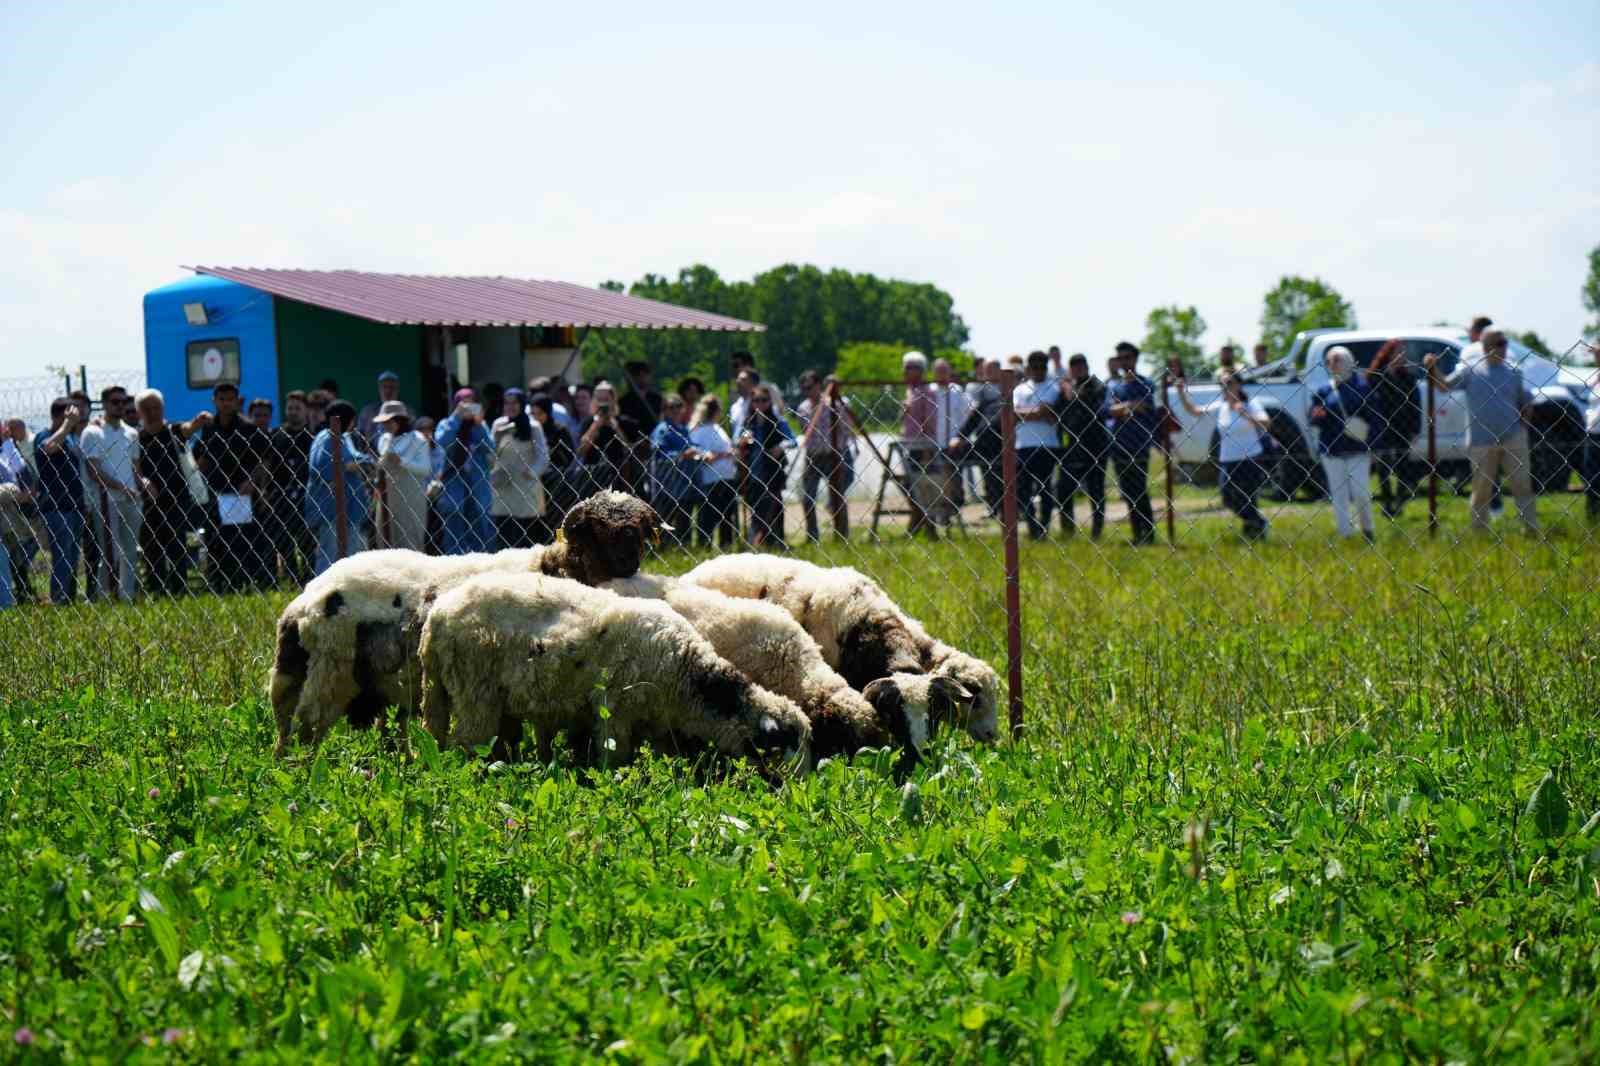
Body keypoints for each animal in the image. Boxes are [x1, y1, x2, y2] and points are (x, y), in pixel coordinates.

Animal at [419, 573, 812, 771]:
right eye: (784, 745)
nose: (799, 791)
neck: (687, 675)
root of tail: (438, 616)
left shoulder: (657, 723)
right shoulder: (615, 712)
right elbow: (616, 756)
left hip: (450, 692)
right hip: (475, 692)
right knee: (468, 744)